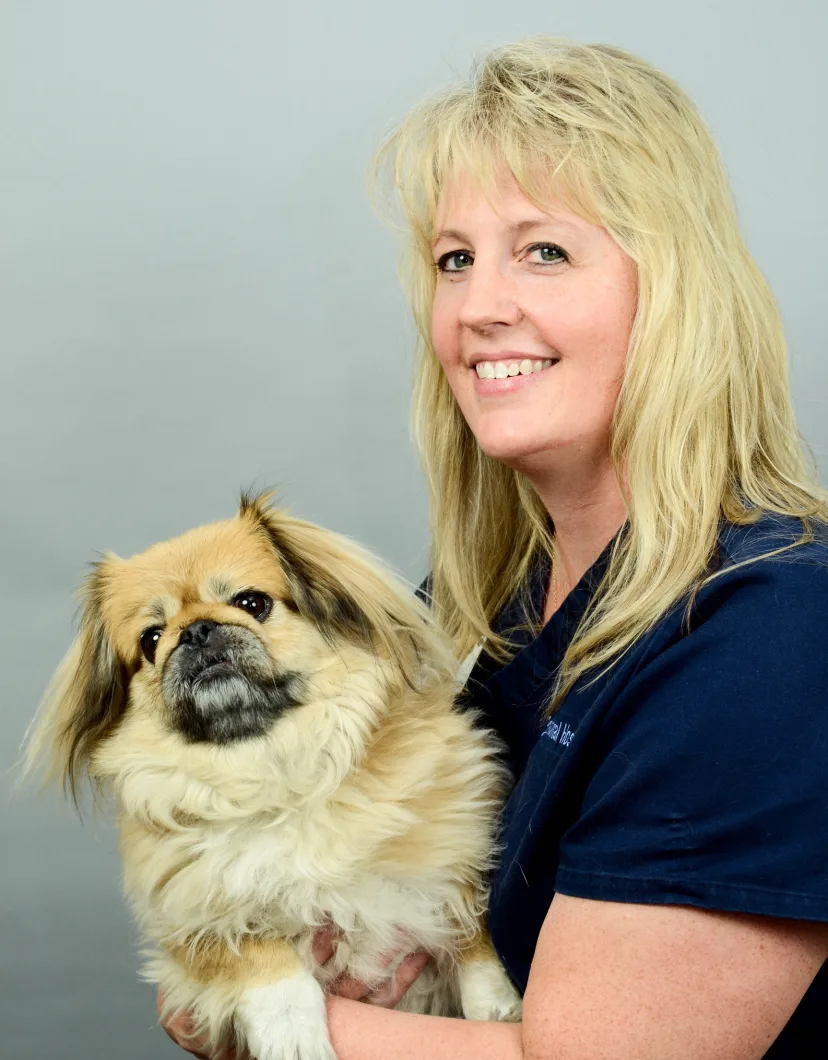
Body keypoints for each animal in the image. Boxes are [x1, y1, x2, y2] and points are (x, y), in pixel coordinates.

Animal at [25, 496, 519, 1060]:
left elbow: (472, 934)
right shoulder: (192, 921)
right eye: (151, 640)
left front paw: (499, 1007)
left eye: (252, 603)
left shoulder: (454, 849)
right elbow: (259, 955)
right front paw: (291, 1032)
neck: (274, 770)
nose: (195, 630)